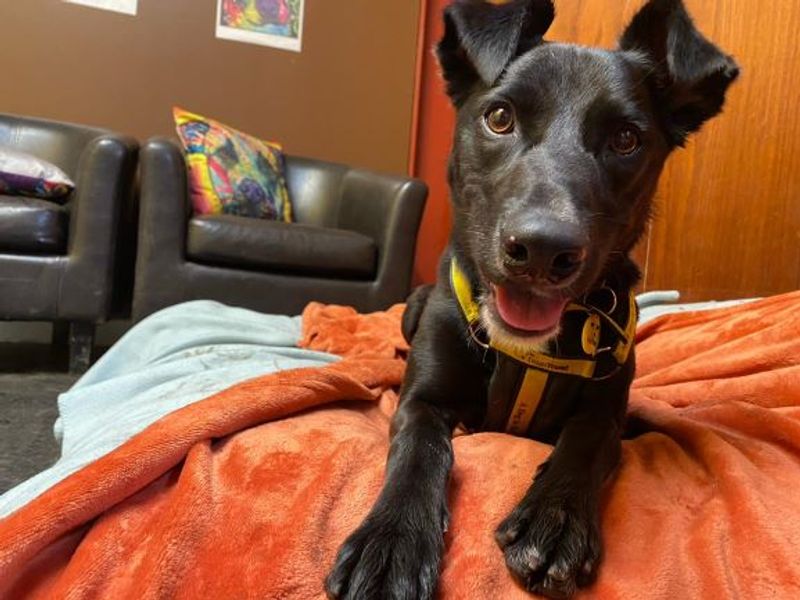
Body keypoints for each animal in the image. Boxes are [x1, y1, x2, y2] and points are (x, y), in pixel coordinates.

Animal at [324, 2, 736, 596]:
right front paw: (391, 540)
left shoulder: (607, 409)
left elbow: (586, 440)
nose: (543, 250)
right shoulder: (421, 400)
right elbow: (417, 448)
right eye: (499, 117)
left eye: (627, 139)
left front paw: (555, 518)